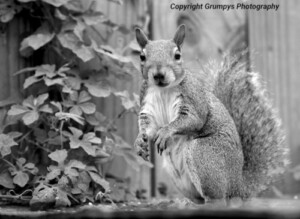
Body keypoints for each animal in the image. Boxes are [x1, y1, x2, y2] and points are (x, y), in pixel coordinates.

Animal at [133, 24, 288, 204]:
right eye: (142, 56)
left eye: (177, 55)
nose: (159, 75)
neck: (163, 90)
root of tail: (238, 187)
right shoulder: (147, 106)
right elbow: (147, 126)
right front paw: (139, 141)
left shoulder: (194, 100)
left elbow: (193, 120)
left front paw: (165, 131)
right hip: (178, 177)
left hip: (204, 155)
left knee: (218, 198)